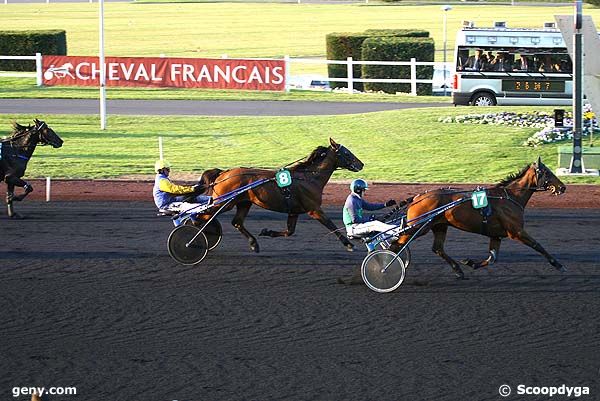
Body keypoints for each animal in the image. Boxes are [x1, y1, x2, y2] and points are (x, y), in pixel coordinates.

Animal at [199, 138, 364, 250]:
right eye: (346, 153)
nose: (361, 164)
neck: (309, 178)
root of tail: (223, 173)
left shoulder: (294, 211)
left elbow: (289, 231)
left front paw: (267, 232)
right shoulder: (314, 209)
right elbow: (330, 224)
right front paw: (349, 244)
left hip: (244, 202)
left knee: (236, 222)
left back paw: (254, 244)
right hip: (223, 202)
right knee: (202, 216)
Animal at [390, 156, 568, 278]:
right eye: (547, 172)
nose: (563, 187)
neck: (510, 197)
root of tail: (417, 197)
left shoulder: (496, 235)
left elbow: (492, 257)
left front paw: (470, 263)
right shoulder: (516, 232)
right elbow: (538, 246)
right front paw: (559, 264)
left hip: (439, 225)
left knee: (437, 248)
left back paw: (458, 270)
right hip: (419, 227)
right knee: (397, 244)